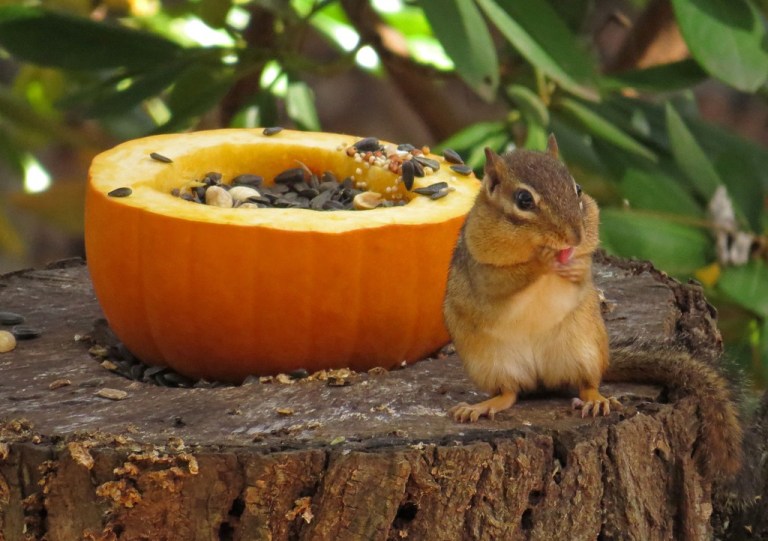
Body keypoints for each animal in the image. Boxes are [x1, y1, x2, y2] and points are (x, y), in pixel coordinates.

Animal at [443, 134, 743, 480]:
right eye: (523, 200)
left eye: (578, 188)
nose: (574, 236)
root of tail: (542, 379)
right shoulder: (484, 268)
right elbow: (505, 281)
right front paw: (541, 261)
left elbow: (586, 259)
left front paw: (577, 268)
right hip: (492, 364)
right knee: (510, 392)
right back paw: (482, 406)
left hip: (584, 349)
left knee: (587, 383)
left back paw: (596, 400)